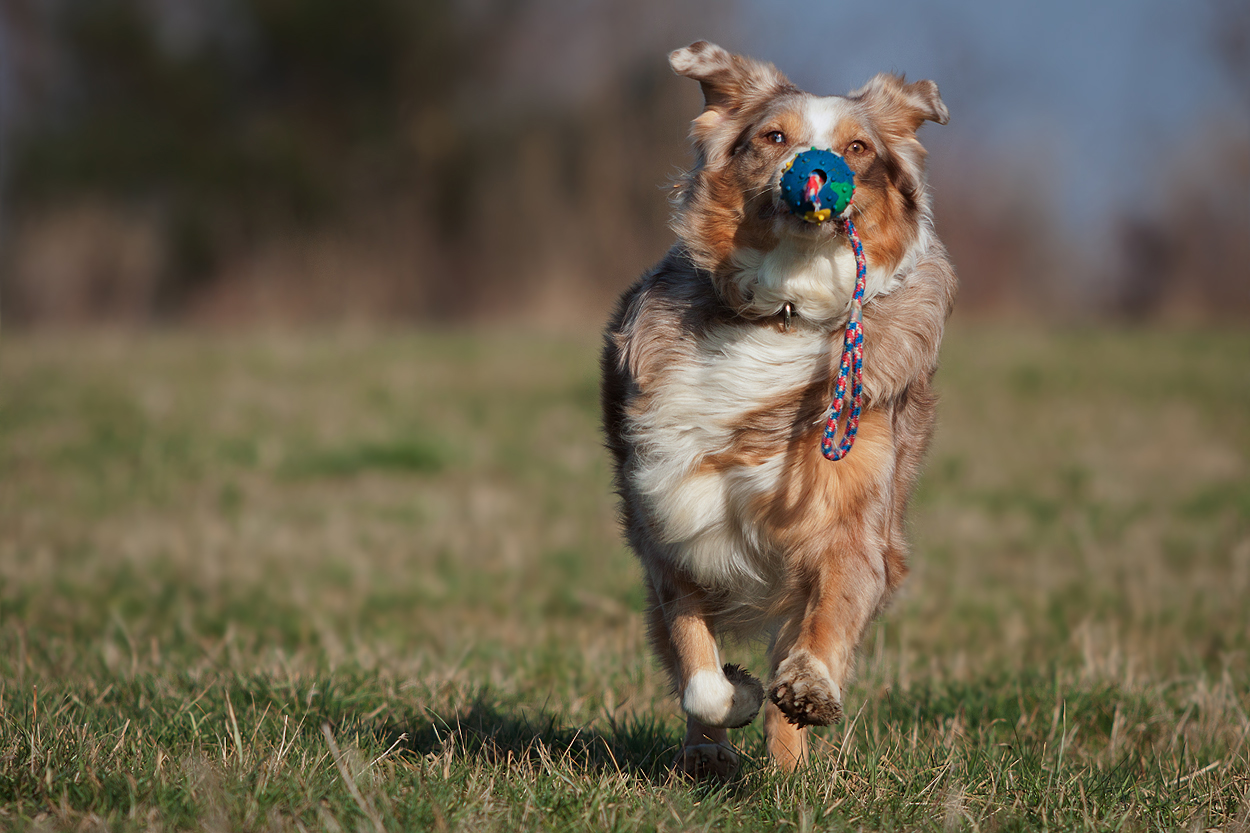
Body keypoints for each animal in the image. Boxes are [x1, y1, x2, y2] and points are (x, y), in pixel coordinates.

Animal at [597, 42, 955, 775]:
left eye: (858, 147)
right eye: (774, 137)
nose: (817, 170)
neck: (786, 311)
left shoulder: (854, 518)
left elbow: (829, 615)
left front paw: (808, 688)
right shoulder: (673, 521)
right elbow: (698, 671)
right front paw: (734, 695)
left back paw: (791, 773)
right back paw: (712, 755)